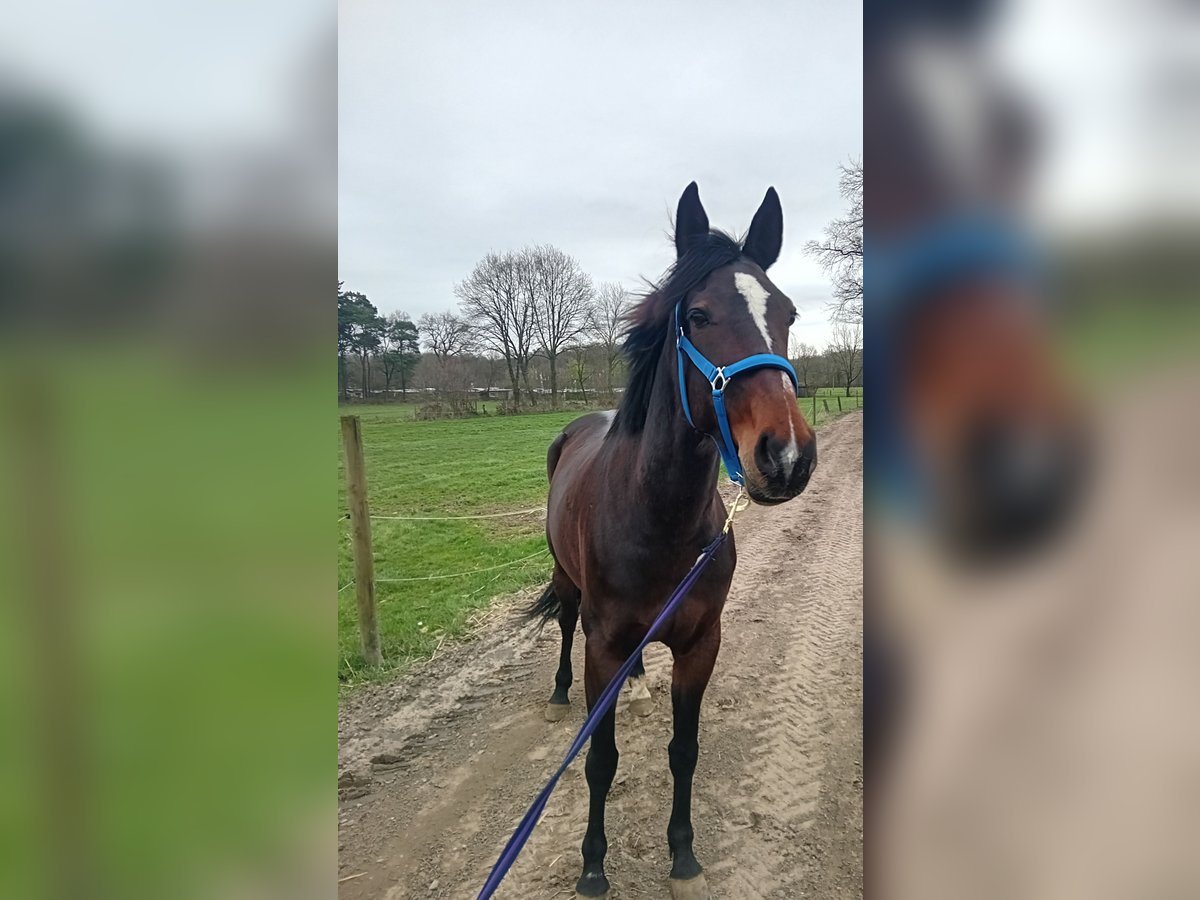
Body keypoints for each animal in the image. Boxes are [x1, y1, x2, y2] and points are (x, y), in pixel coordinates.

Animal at [528, 182, 816, 899]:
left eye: (788, 313)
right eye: (700, 316)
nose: (786, 456)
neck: (656, 520)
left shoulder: (699, 644)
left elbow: (684, 750)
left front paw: (682, 852)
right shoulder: (604, 645)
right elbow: (600, 760)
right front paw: (593, 864)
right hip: (569, 589)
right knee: (564, 625)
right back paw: (558, 691)